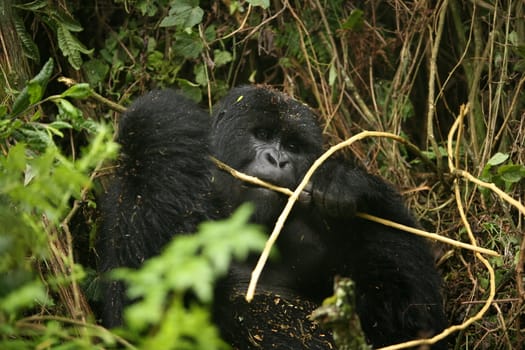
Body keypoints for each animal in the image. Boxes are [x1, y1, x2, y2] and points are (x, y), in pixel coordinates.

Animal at [96, 86, 444, 348]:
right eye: (262, 134)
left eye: (292, 145)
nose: (277, 159)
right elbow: (139, 311)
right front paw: (159, 121)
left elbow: (410, 321)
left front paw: (345, 180)